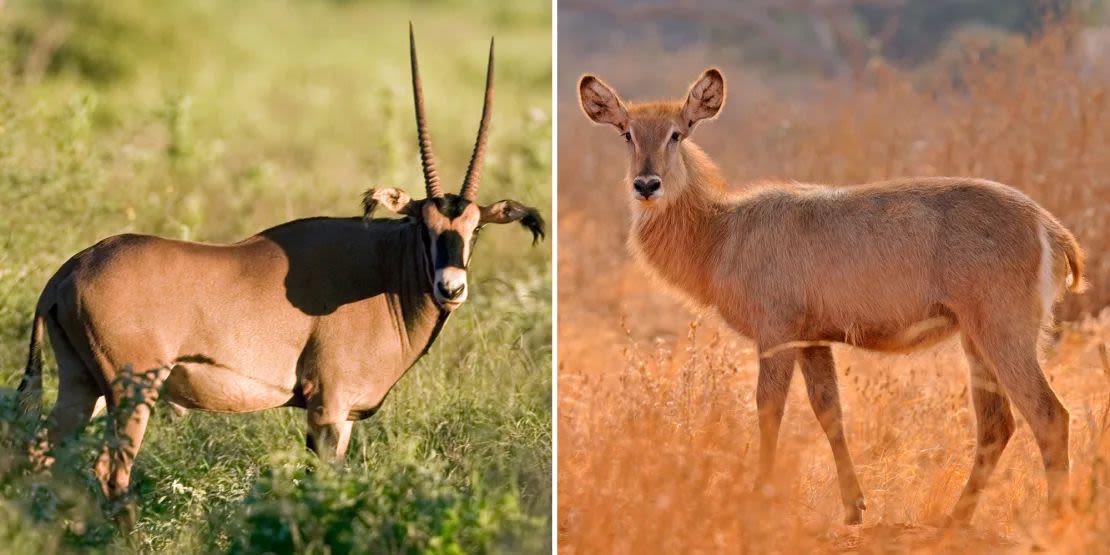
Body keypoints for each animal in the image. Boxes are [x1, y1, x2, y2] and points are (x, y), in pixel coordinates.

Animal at [13, 26, 541, 526]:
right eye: (422, 225)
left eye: (474, 229)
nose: (450, 288)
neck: (385, 269)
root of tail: (67, 273)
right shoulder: (329, 408)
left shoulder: (340, 415)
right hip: (129, 392)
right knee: (110, 472)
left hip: (83, 385)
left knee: (40, 456)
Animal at [581, 67, 1083, 521]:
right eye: (627, 133)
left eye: (678, 133)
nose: (647, 185)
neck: (721, 233)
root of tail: (1050, 227)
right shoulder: (813, 338)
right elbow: (829, 412)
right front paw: (853, 507)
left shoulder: (777, 332)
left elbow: (769, 409)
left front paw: (759, 498)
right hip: (974, 338)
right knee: (997, 423)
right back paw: (953, 521)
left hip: (1003, 329)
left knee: (1049, 414)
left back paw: (1051, 519)